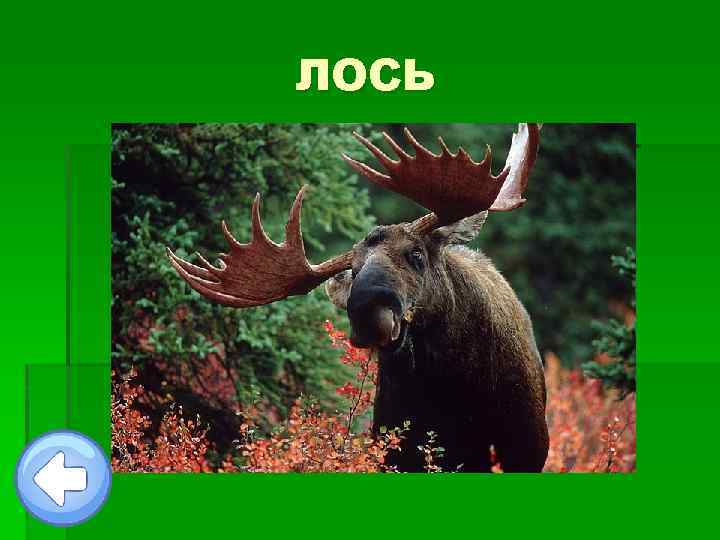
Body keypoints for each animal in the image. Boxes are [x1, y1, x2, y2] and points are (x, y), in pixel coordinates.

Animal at [166, 124, 548, 472]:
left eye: (416, 253)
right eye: (354, 269)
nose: (369, 314)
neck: (455, 390)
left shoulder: (526, 448)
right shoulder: (396, 449)